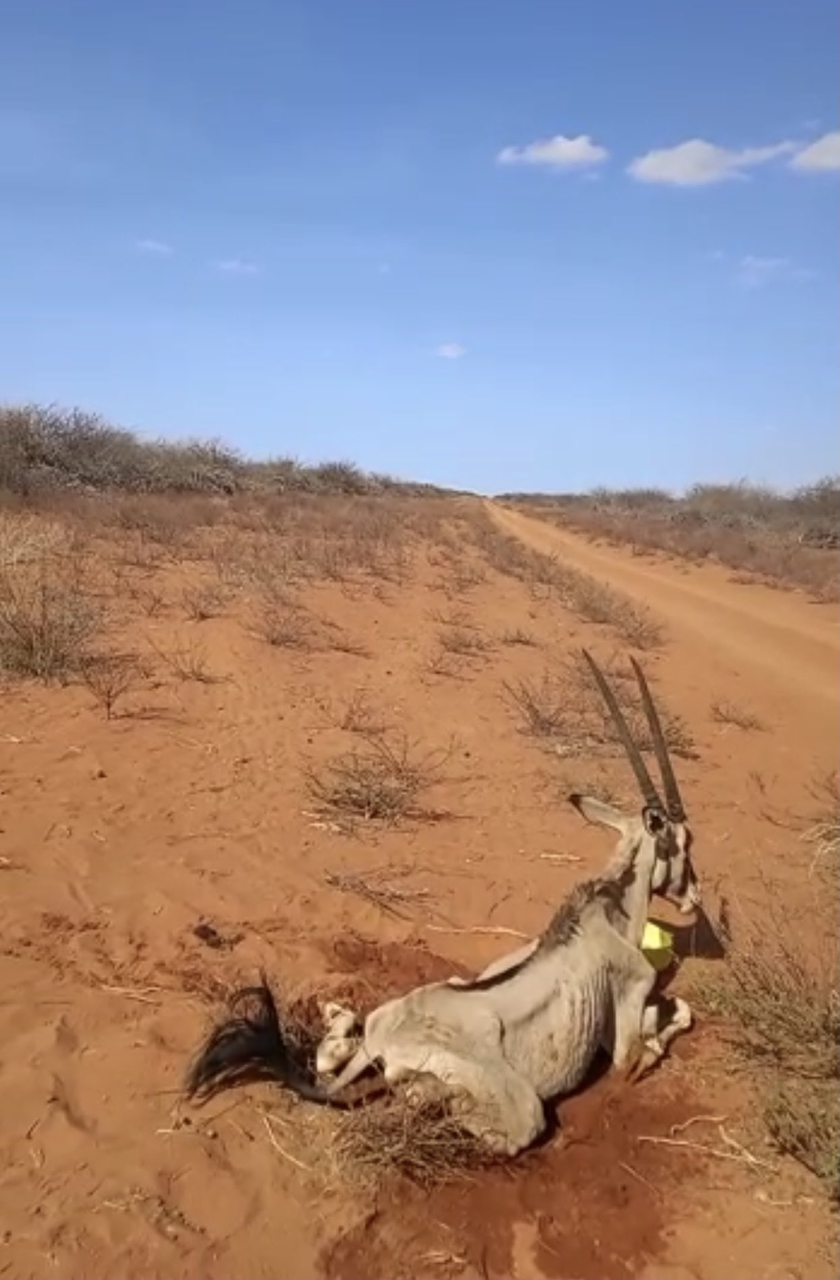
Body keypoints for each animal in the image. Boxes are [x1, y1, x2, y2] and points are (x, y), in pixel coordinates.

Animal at [186, 650, 696, 1162]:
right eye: (684, 842)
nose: (694, 897)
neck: (607, 910)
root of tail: (384, 1041)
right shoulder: (625, 1026)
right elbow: (667, 1028)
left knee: (333, 1056)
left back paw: (340, 1026)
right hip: (523, 1112)